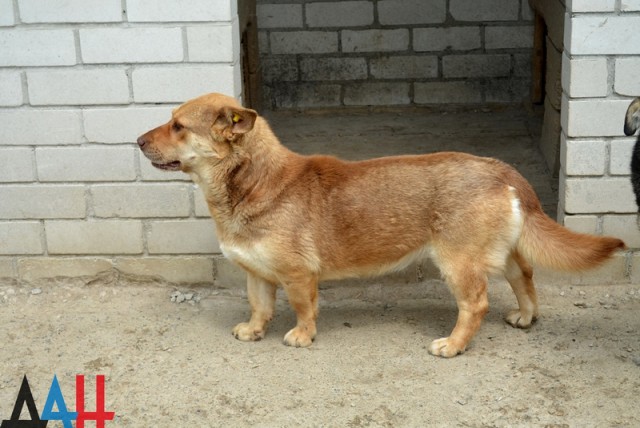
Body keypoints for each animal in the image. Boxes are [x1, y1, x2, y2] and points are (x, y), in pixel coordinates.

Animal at [139, 93, 624, 358]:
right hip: (498, 252)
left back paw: (453, 344)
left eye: (178, 126)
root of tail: (499, 167)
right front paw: (254, 331)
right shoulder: (257, 275)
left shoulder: (298, 276)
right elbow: (260, 307)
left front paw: (302, 336)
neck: (252, 180)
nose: (137, 140)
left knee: (476, 305)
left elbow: (303, 309)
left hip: (459, 263)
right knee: (524, 277)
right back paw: (525, 316)